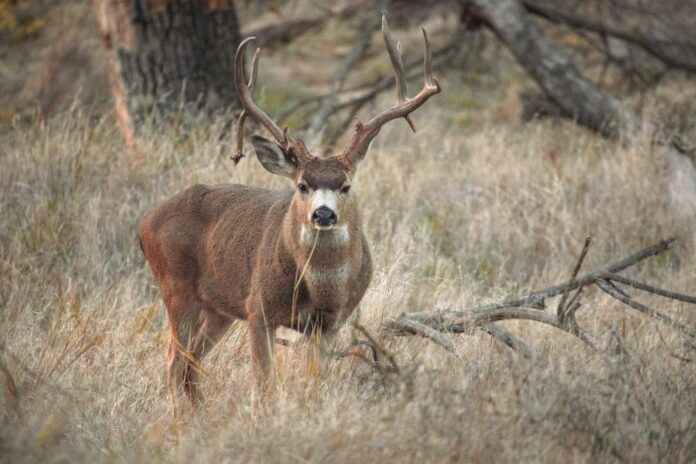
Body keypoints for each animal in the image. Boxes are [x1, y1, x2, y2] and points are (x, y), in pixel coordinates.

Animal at [139, 16, 440, 417]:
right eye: (302, 184)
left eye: (346, 186)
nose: (323, 213)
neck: (319, 288)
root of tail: (145, 223)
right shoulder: (259, 309)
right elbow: (264, 384)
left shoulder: (331, 323)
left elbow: (315, 385)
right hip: (176, 288)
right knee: (174, 361)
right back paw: (179, 422)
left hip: (219, 305)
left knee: (191, 363)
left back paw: (198, 416)